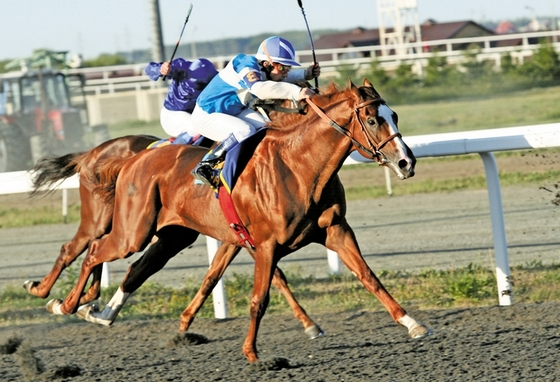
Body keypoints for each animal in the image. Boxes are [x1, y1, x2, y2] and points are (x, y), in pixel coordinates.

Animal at [48, 78, 430, 364]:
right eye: (372, 120)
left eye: (395, 115)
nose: (406, 163)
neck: (297, 166)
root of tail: (130, 159)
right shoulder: (265, 243)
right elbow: (260, 297)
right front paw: (252, 352)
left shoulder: (334, 230)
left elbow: (369, 277)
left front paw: (412, 323)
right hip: (133, 231)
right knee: (92, 249)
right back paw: (64, 303)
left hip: (172, 235)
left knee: (134, 267)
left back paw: (96, 310)